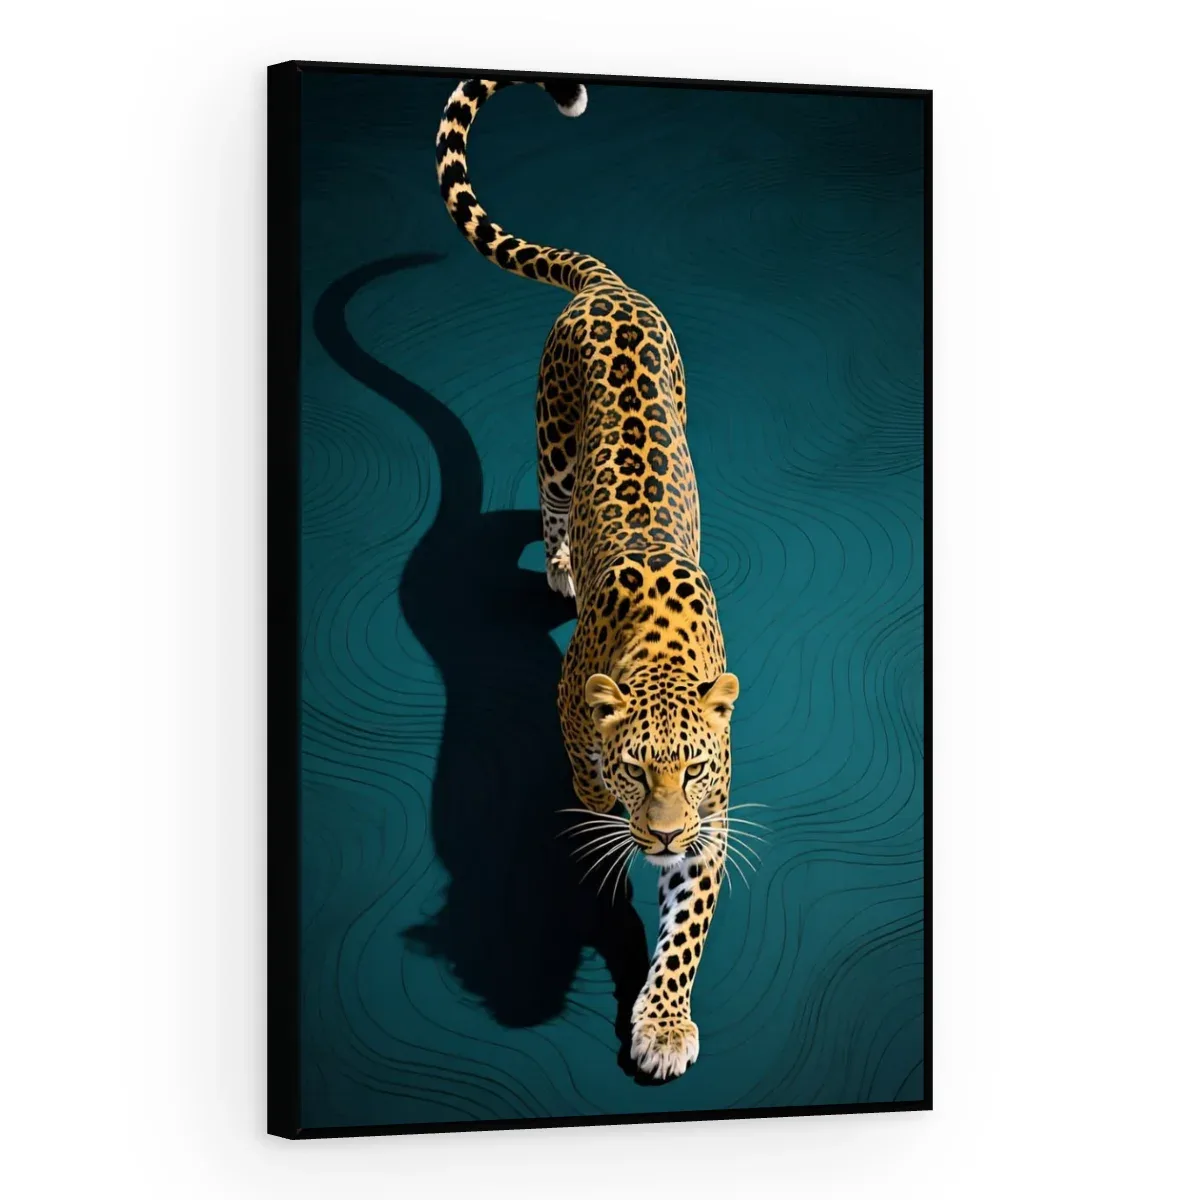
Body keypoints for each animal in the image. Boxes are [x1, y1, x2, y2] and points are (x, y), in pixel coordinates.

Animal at [436, 77, 747, 1080]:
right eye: (635, 766)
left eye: (693, 769)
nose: (663, 831)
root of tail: (610, 286)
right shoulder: (585, 758)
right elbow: (591, 812)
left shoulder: (716, 822)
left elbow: (686, 929)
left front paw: (663, 1026)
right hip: (553, 441)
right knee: (550, 501)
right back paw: (563, 566)